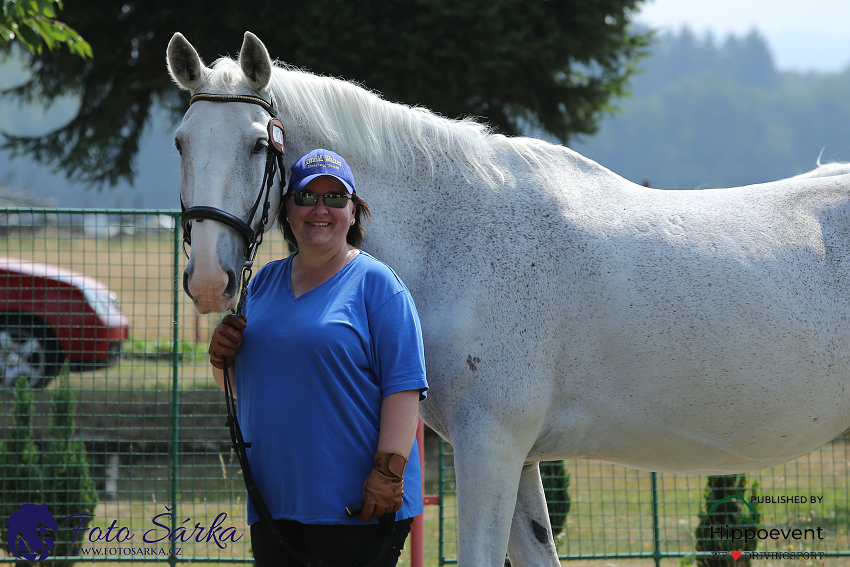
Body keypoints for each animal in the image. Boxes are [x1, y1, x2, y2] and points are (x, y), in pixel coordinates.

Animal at [166, 32, 848, 567]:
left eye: (259, 144)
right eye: (180, 142)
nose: (208, 280)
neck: (454, 232)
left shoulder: (489, 447)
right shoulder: (517, 460)